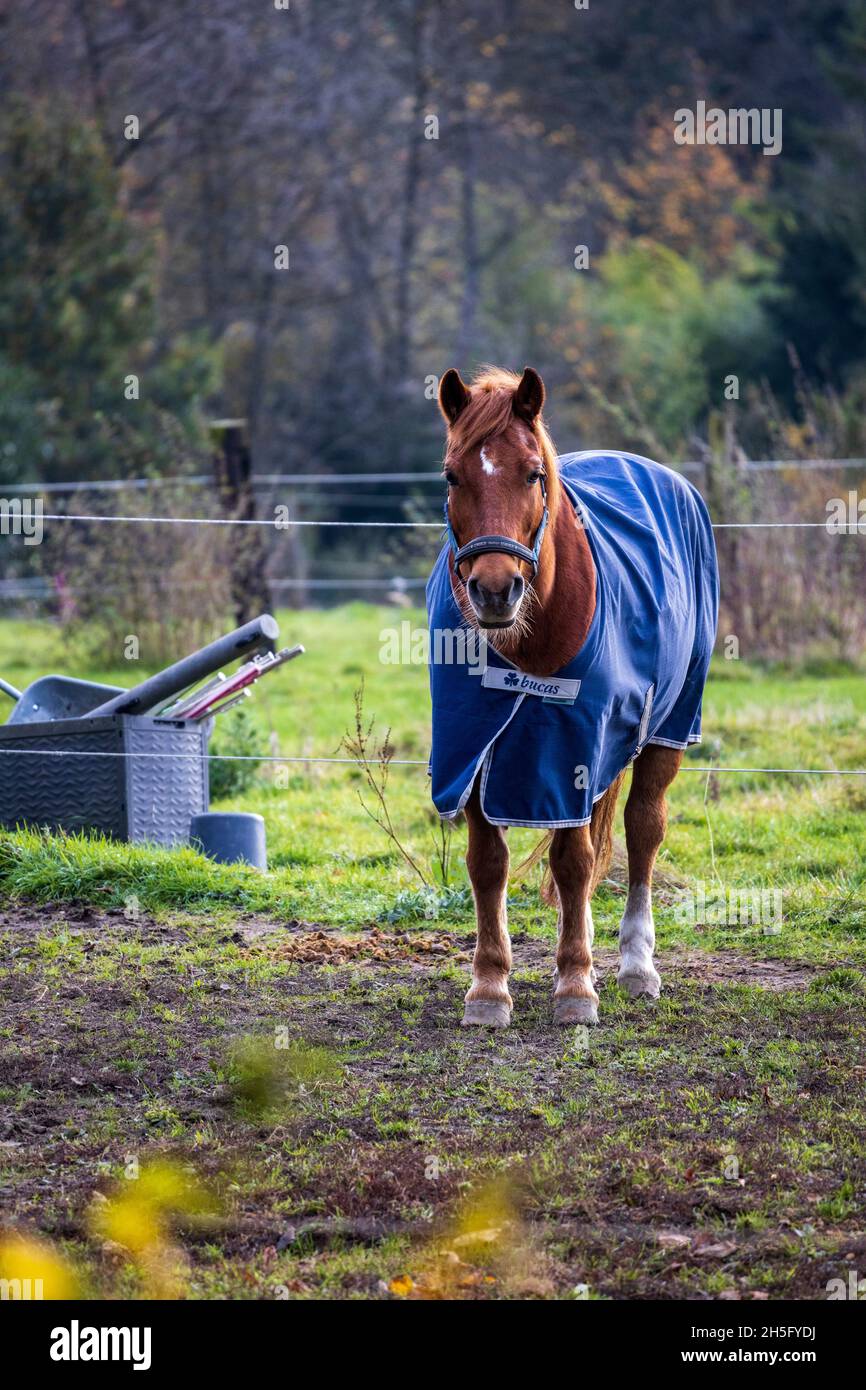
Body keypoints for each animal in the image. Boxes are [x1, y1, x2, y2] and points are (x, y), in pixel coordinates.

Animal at [427, 365, 719, 1027]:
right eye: (451, 475)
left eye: (534, 473)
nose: (495, 590)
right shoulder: (473, 750)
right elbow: (489, 864)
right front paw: (490, 987)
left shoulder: (570, 749)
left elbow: (576, 860)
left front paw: (577, 985)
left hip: (669, 729)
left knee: (641, 831)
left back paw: (636, 965)